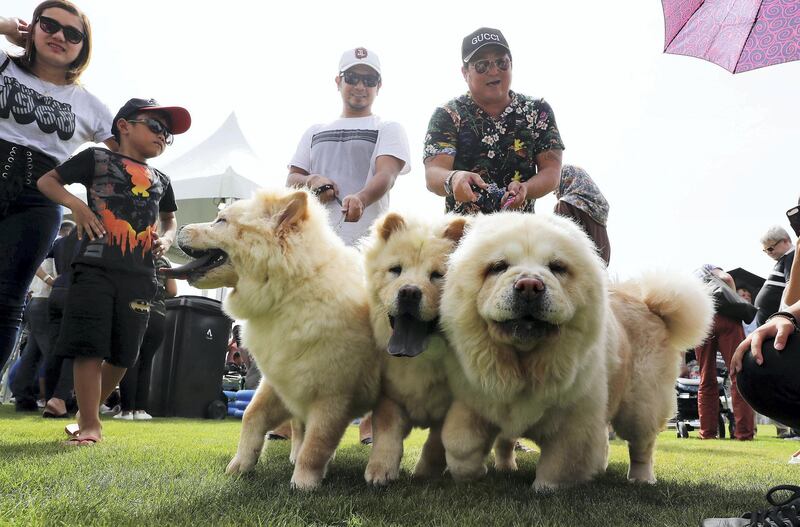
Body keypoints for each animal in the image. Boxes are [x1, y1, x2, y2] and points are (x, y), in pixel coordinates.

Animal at [164, 189, 380, 490]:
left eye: (221, 221)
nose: (180, 226)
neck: (291, 291)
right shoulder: (279, 379)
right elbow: (251, 417)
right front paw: (240, 466)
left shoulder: (332, 396)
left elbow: (317, 444)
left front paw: (303, 483)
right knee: (299, 429)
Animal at [440, 211, 716, 490]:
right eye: (498, 267)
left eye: (557, 267)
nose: (529, 285)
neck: (525, 360)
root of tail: (649, 305)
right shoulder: (474, 401)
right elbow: (459, 445)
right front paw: (470, 474)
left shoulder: (574, 420)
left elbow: (560, 461)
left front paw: (544, 488)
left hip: (641, 406)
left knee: (641, 446)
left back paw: (642, 478)